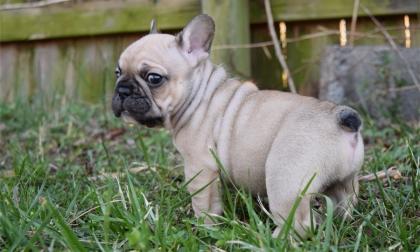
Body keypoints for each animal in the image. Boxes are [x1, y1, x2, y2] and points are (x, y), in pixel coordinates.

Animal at [111, 14, 364, 235]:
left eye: (154, 78)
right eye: (117, 72)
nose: (122, 90)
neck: (200, 94)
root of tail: (339, 117)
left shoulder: (200, 168)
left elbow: (204, 204)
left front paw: (205, 228)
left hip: (285, 181)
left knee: (298, 222)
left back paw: (276, 238)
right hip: (346, 182)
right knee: (344, 203)